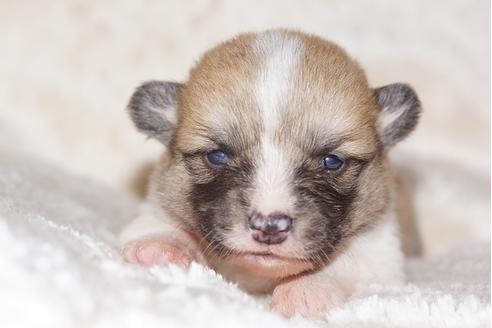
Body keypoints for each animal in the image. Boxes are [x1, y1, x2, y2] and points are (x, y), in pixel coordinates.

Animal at [121, 30, 420, 318]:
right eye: (217, 156)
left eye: (332, 161)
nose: (269, 227)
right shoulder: (156, 205)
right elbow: (162, 223)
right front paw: (161, 246)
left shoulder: (379, 255)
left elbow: (348, 263)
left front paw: (308, 288)